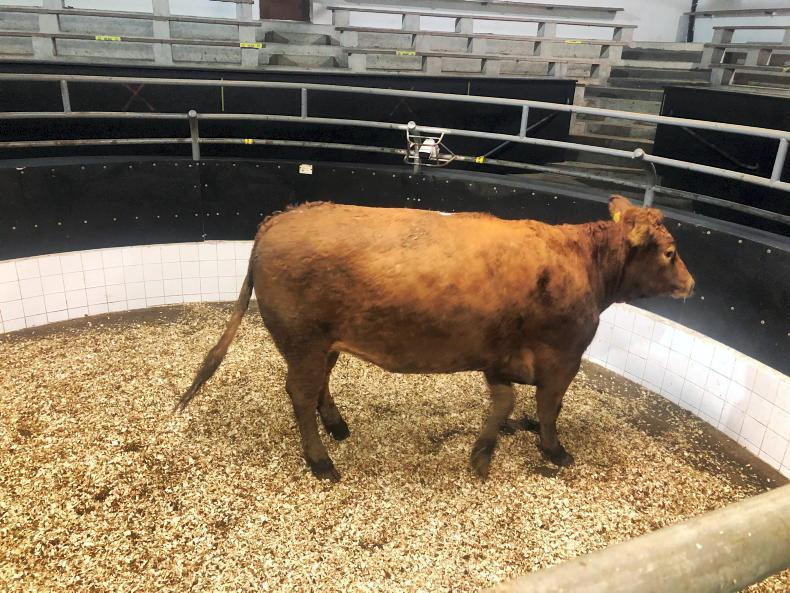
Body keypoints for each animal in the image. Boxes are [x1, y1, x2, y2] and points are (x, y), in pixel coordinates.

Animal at [176, 195, 694, 482]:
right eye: (670, 252)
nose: (690, 283)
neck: (582, 263)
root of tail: (279, 218)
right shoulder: (563, 357)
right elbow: (549, 409)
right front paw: (553, 450)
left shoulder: (499, 355)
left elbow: (504, 404)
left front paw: (485, 452)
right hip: (302, 341)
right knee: (300, 394)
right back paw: (321, 460)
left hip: (323, 344)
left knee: (319, 384)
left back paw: (337, 425)